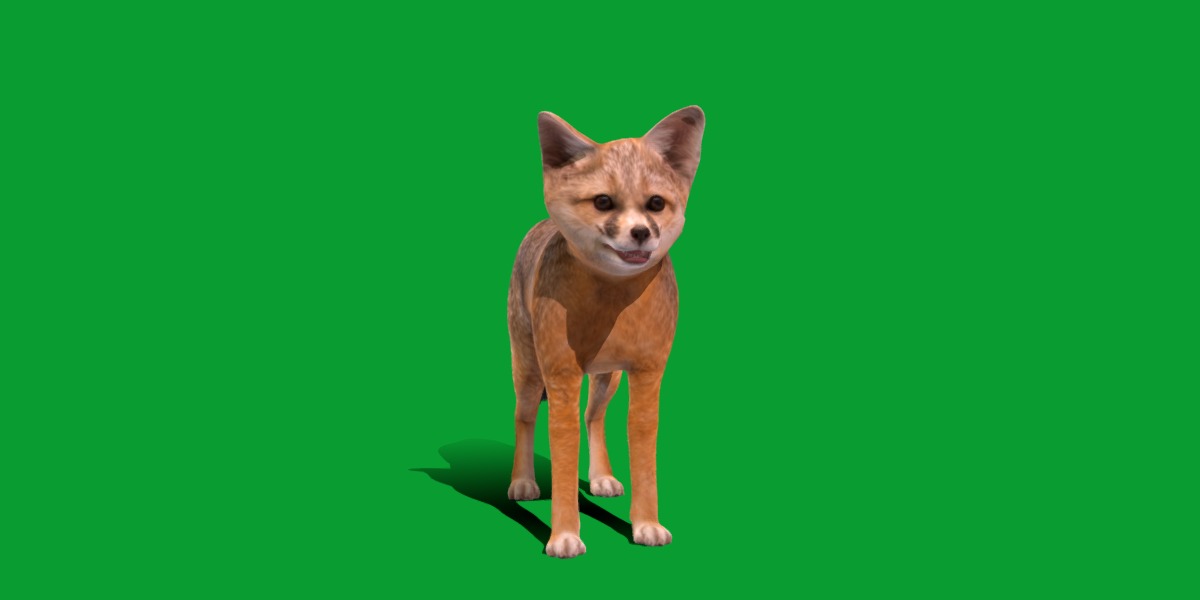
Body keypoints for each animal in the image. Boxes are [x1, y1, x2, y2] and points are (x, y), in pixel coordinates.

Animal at [506, 106, 705, 558]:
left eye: (655, 204)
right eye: (602, 202)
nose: (641, 233)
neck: (612, 303)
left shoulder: (647, 376)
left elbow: (643, 459)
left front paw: (646, 525)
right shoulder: (561, 378)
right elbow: (562, 458)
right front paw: (564, 535)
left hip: (606, 379)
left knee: (594, 417)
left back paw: (600, 477)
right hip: (529, 374)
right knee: (524, 418)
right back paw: (522, 482)